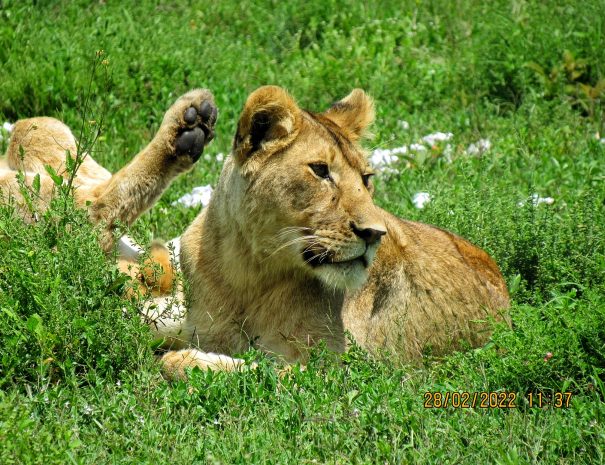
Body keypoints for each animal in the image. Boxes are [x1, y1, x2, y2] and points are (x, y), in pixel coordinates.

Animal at [1, 86, 510, 376]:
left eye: (366, 179)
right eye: (320, 171)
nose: (374, 233)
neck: (248, 272)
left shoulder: (347, 373)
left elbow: (209, 366)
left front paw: (183, 361)